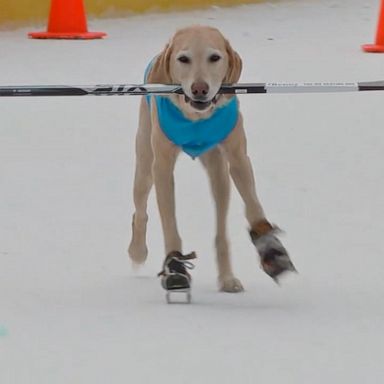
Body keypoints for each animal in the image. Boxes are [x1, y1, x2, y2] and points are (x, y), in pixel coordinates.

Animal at [128, 25, 294, 292]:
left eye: (214, 57)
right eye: (183, 59)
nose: (200, 89)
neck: (196, 118)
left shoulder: (237, 159)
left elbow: (252, 203)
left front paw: (270, 248)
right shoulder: (162, 168)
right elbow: (170, 225)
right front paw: (175, 267)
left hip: (218, 172)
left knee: (221, 225)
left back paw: (226, 276)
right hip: (144, 165)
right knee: (140, 211)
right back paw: (137, 251)